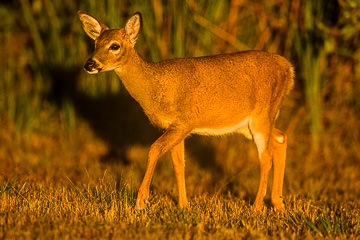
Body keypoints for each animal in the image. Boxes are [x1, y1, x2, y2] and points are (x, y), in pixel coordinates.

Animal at [78, 10, 292, 211]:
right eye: (95, 43)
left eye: (114, 46)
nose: (90, 64)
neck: (155, 87)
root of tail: (288, 68)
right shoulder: (174, 128)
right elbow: (178, 164)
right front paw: (183, 205)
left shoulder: (183, 123)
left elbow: (154, 150)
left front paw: (141, 201)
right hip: (251, 123)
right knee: (280, 138)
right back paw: (278, 203)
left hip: (261, 114)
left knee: (265, 157)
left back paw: (256, 207)